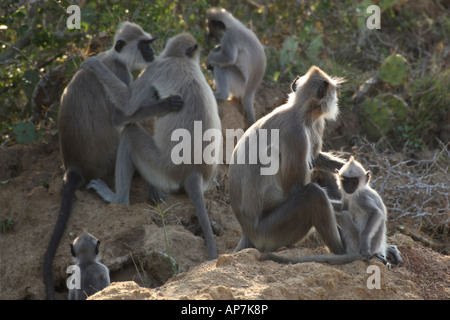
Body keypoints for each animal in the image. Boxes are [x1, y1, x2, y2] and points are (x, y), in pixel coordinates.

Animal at [43, 21, 182, 300]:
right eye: (144, 44)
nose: (152, 52)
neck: (113, 56)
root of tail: (73, 169)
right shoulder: (120, 72)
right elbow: (121, 116)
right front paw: (164, 103)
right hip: (107, 159)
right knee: (129, 129)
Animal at [81, 32, 222, 260]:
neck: (181, 60)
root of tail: (193, 171)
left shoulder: (155, 67)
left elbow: (128, 103)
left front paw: (94, 64)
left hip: (162, 168)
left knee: (130, 134)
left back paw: (117, 198)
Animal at [229, 66, 348, 256]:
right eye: (334, 92)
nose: (336, 100)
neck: (300, 113)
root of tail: (248, 233)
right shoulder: (296, 135)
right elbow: (296, 188)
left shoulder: (315, 124)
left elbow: (315, 158)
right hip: (270, 233)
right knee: (313, 195)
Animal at [262, 157, 402, 264]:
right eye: (345, 181)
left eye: (354, 181)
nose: (349, 187)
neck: (356, 192)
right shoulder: (348, 196)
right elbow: (343, 207)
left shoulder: (361, 197)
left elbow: (376, 213)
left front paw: (365, 243)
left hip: (354, 241)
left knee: (345, 215)